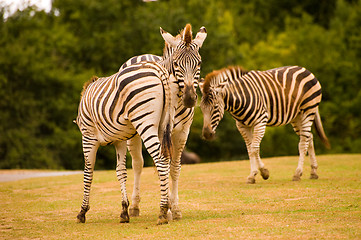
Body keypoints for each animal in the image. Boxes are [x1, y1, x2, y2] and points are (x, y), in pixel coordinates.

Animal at [75, 61, 179, 225]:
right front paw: (124, 211)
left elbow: (88, 173)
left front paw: (82, 211)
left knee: (161, 160)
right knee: (166, 160)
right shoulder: (120, 140)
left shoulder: (88, 137)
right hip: (166, 121)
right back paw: (166, 208)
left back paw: (162, 212)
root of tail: (157, 68)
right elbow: (121, 172)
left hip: (144, 121)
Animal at [114, 23, 207, 219]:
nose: (189, 99)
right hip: (136, 130)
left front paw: (175, 208)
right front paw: (169, 208)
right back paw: (134, 206)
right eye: (176, 64)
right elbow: (159, 165)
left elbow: (175, 167)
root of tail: (142, 55)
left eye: (199, 63)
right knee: (138, 164)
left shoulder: (182, 132)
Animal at [200, 65, 330, 184]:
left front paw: (262, 173)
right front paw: (253, 174)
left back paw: (297, 173)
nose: (206, 134)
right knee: (309, 137)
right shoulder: (242, 126)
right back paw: (313, 172)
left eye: (215, 107)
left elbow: (254, 148)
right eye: (201, 108)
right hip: (296, 116)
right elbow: (250, 149)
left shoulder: (260, 121)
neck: (240, 98)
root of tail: (305, 69)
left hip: (308, 110)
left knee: (303, 143)